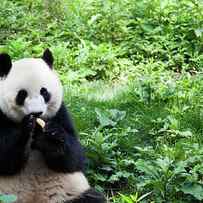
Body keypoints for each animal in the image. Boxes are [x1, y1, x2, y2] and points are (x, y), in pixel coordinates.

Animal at [0, 49, 105, 203]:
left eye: (44, 92)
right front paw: (26, 129)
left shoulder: (60, 113)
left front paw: (52, 136)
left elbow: (75, 158)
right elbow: (5, 158)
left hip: (70, 192)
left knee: (93, 197)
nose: (37, 113)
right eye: (22, 94)